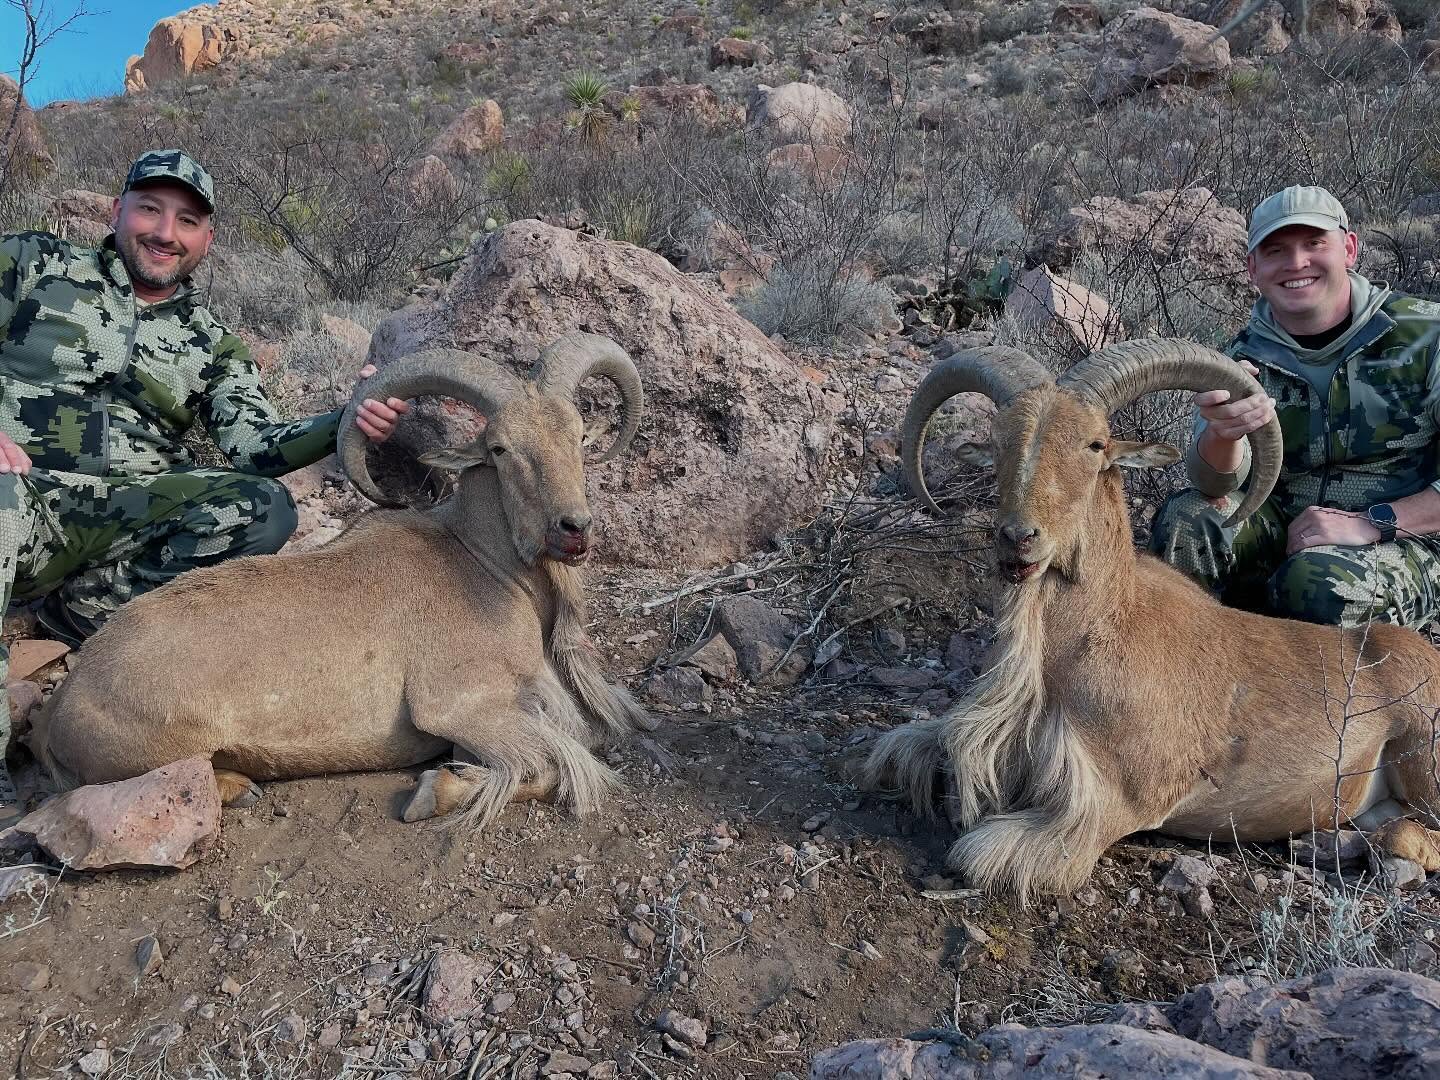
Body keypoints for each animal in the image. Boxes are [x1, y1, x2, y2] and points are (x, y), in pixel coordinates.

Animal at [31, 332, 655, 828]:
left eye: (577, 435)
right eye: (500, 449)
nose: (573, 528)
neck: (480, 561)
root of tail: (61, 708)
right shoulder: (463, 705)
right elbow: (548, 767)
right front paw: (433, 792)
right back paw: (241, 786)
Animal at [863, 339, 1440, 901]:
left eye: (1095, 445)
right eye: (1001, 441)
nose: (1018, 539)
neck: (1078, 646)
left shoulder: (1109, 802)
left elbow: (978, 854)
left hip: (1423, 761)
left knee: (1411, 832)